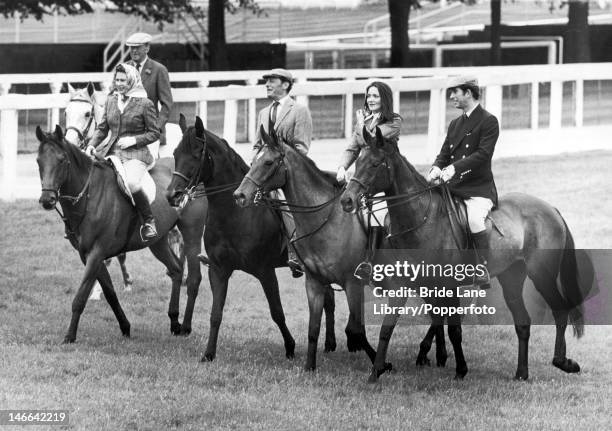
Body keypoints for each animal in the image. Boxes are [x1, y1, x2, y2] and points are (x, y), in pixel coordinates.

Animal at [36, 125, 208, 344]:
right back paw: (174, 321)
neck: (90, 196)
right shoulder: (88, 255)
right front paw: (125, 327)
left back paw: (185, 326)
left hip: (192, 232)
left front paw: (69, 336)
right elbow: (110, 293)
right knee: (176, 270)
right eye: (38, 161)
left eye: (61, 160)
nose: (47, 200)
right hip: (158, 241)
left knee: (193, 277)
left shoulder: (97, 252)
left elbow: (81, 296)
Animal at [167, 116, 334, 362]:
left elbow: (277, 313)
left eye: (196, 155)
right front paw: (209, 354)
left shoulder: (265, 272)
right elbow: (216, 314)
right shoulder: (218, 270)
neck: (234, 214)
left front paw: (290, 346)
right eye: (176, 154)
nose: (172, 195)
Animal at [340, 126, 588, 384]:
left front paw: (460, 369)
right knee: (523, 322)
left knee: (561, 311)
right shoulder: (405, 284)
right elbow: (388, 327)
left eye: (375, 164)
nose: (346, 200)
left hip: (542, 275)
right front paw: (376, 371)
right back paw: (522, 372)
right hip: (511, 277)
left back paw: (564, 362)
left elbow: (454, 329)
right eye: (357, 161)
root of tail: (551, 209)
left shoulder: (448, 286)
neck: (422, 219)